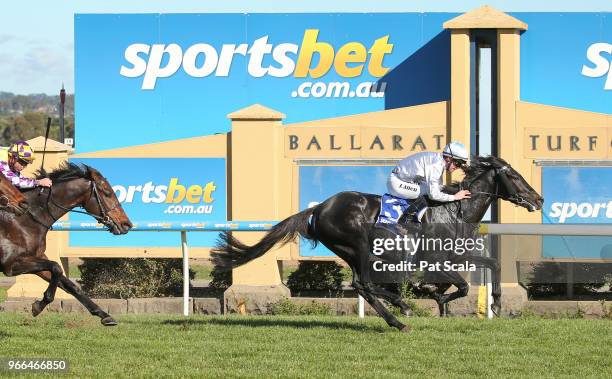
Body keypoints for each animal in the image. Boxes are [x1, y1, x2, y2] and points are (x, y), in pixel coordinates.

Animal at [0, 163, 132, 326]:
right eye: (107, 193)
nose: (126, 224)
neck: (24, 220)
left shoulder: (35, 259)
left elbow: (70, 285)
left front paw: (104, 315)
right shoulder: (11, 265)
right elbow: (56, 267)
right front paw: (39, 305)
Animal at [213, 156, 544, 332]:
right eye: (514, 176)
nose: (539, 199)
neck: (454, 210)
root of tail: (319, 208)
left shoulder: (457, 256)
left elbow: (492, 265)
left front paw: (497, 303)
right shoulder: (435, 260)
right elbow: (459, 286)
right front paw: (434, 294)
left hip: (352, 252)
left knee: (365, 285)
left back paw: (399, 309)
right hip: (357, 245)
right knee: (364, 284)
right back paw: (399, 316)